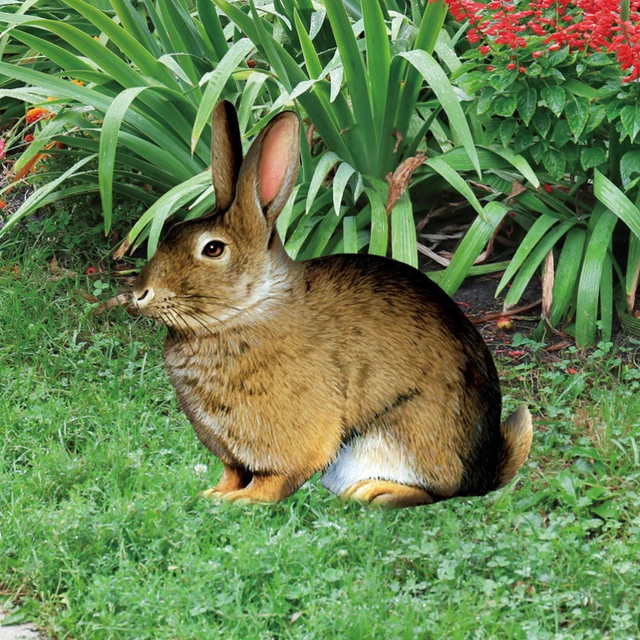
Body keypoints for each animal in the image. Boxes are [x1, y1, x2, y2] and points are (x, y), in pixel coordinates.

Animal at [132, 100, 532, 508]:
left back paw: (375, 492)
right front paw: (214, 494)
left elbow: (274, 480)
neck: (250, 308)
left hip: (401, 436)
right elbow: (232, 473)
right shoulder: (233, 455)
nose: (140, 294)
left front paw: (243, 502)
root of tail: (483, 469)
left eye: (213, 249)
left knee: (437, 489)